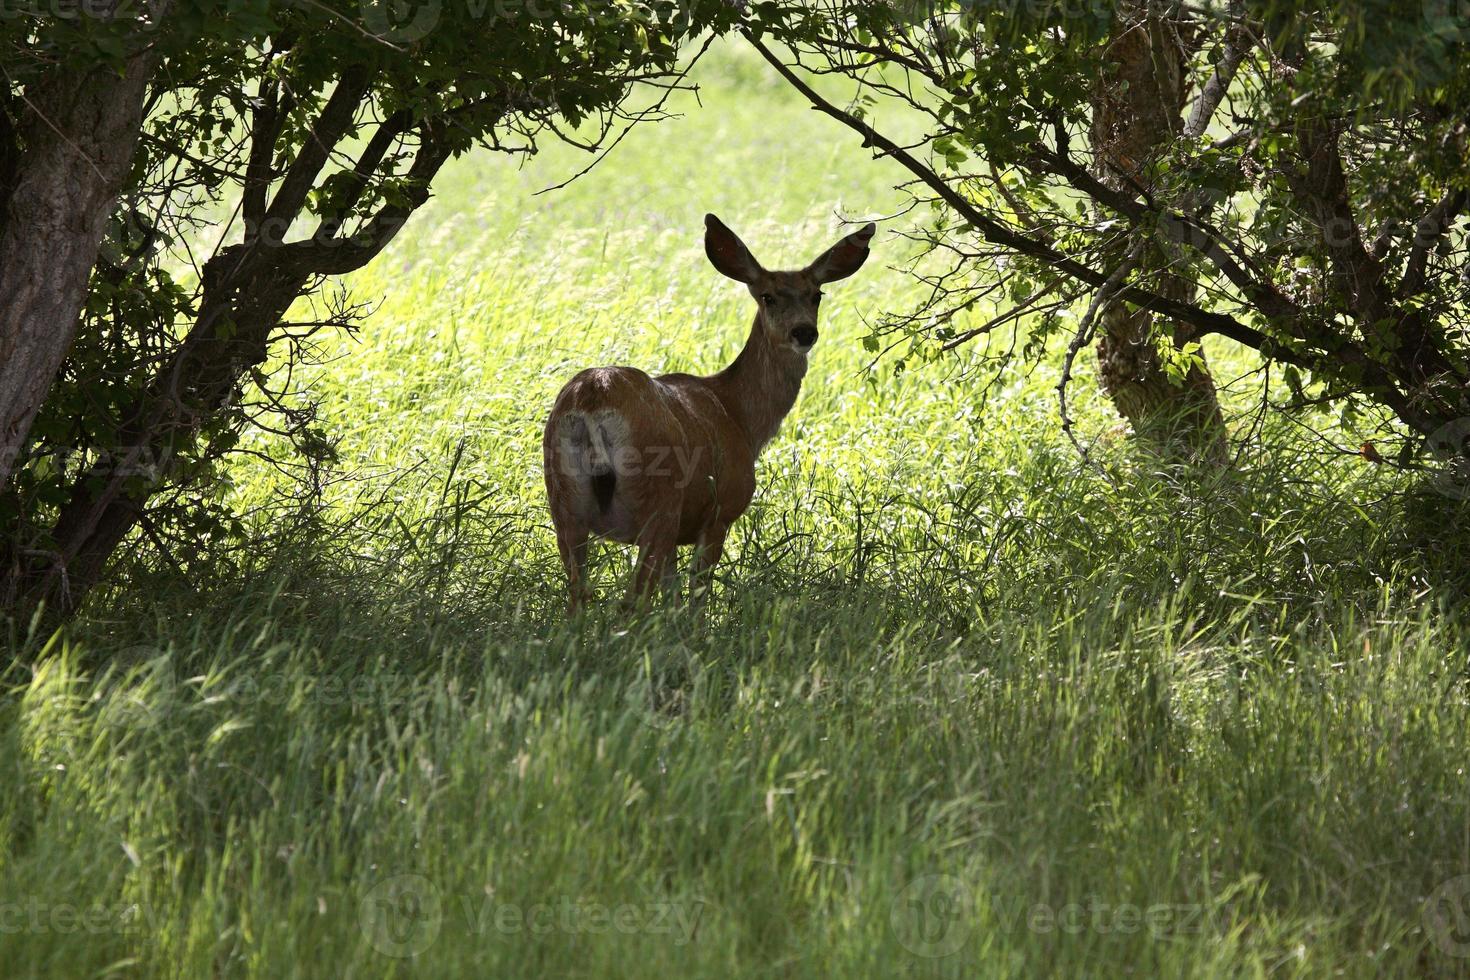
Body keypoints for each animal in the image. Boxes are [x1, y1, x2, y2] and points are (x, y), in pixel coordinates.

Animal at [546, 214, 876, 614]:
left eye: (816, 295)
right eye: (767, 296)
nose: (803, 332)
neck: (739, 417)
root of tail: (594, 397)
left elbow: (672, 601)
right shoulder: (720, 512)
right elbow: (695, 602)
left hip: (563, 502)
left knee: (578, 598)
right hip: (659, 500)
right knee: (631, 603)